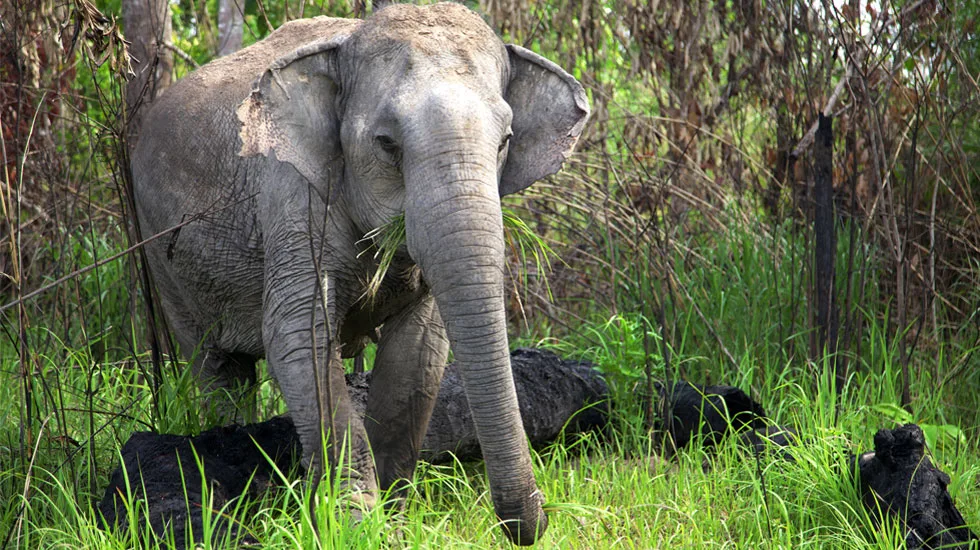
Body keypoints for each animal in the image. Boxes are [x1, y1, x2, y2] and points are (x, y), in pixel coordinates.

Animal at [133, 3, 584, 548]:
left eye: (507, 142)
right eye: (387, 144)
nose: (538, 518)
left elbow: (419, 352)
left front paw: (391, 522)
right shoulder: (292, 193)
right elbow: (299, 335)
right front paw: (354, 524)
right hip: (162, 256)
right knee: (216, 367)